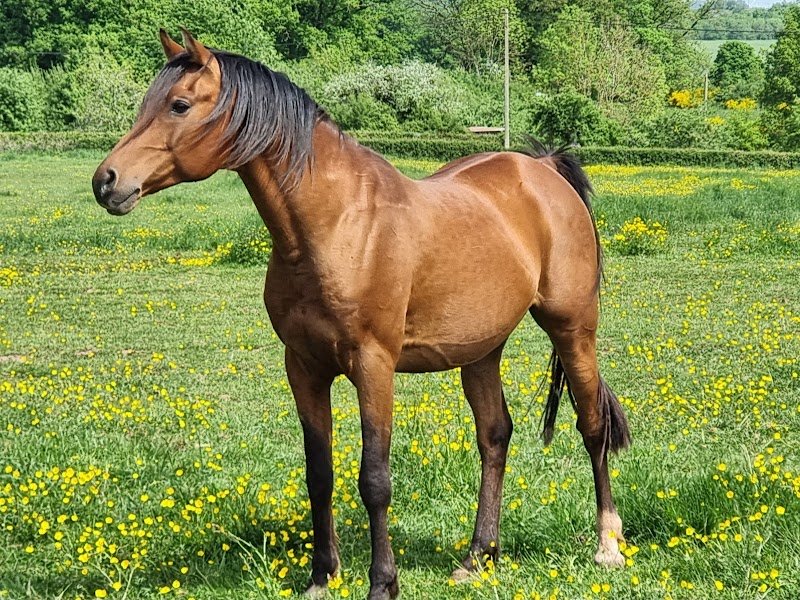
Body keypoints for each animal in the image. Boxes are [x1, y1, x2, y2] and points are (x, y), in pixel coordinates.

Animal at [92, 29, 631, 600]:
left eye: (178, 105)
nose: (106, 181)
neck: (336, 224)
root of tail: (543, 169)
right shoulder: (304, 367)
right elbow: (319, 473)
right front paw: (322, 576)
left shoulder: (373, 366)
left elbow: (374, 479)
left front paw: (381, 582)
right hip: (481, 350)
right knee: (494, 435)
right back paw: (478, 556)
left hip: (573, 328)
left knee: (592, 425)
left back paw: (607, 545)